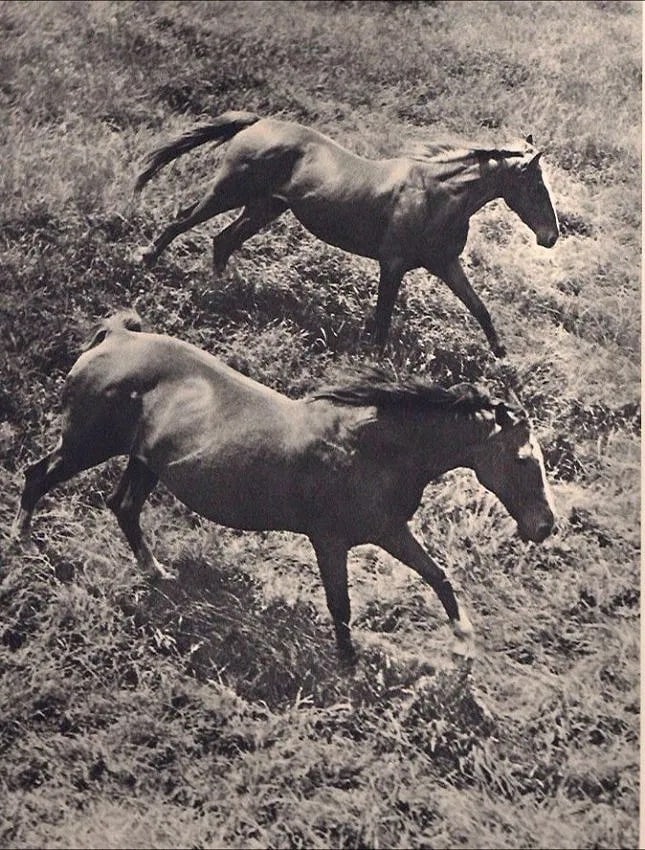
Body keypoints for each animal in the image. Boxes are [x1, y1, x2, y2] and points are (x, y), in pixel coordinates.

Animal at [12, 312, 556, 662]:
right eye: (524, 459)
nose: (546, 527)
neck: (368, 447)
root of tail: (116, 337)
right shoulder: (331, 540)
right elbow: (341, 606)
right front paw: (349, 666)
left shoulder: (389, 530)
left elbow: (438, 575)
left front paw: (464, 641)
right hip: (86, 444)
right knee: (37, 476)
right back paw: (24, 541)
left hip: (143, 462)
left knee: (122, 505)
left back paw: (156, 571)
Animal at [134, 111, 560, 357]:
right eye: (537, 186)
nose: (551, 236)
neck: (436, 194)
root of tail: (255, 123)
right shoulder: (393, 264)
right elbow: (382, 320)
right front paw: (373, 364)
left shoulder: (445, 263)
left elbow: (479, 307)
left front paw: (502, 357)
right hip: (229, 192)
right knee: (182, 220)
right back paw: (148, 260)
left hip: (263, 207)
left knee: (223, 240)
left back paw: (221, 290)